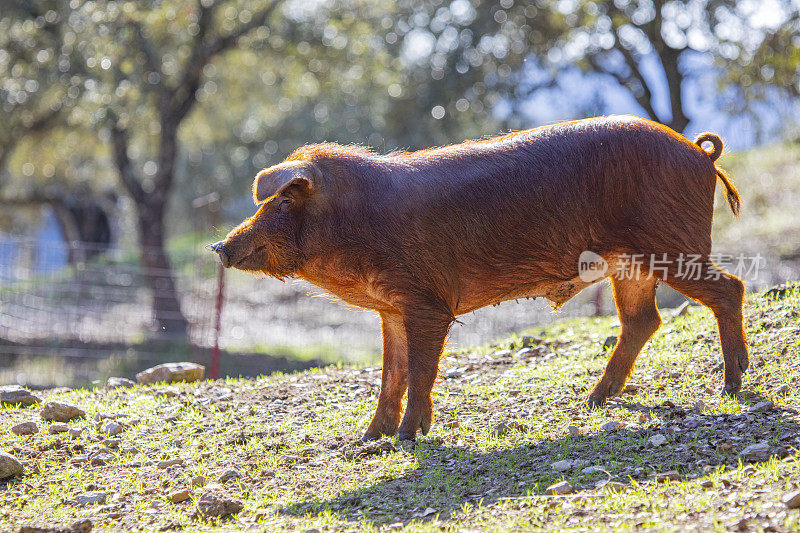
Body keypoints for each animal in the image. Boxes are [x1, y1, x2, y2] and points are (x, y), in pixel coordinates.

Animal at [209, 114, 748, 438]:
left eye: (284, 199)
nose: (219, 246)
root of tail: (700, 153)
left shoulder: (427, 303)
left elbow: (420, 370)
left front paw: (405, 438)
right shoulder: (392, 309)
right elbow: (391, 373)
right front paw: (366, 440)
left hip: (672, 245)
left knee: (730, 289)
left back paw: (730, 387)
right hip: (631, 264)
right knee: (644, 320)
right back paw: (591, 401)